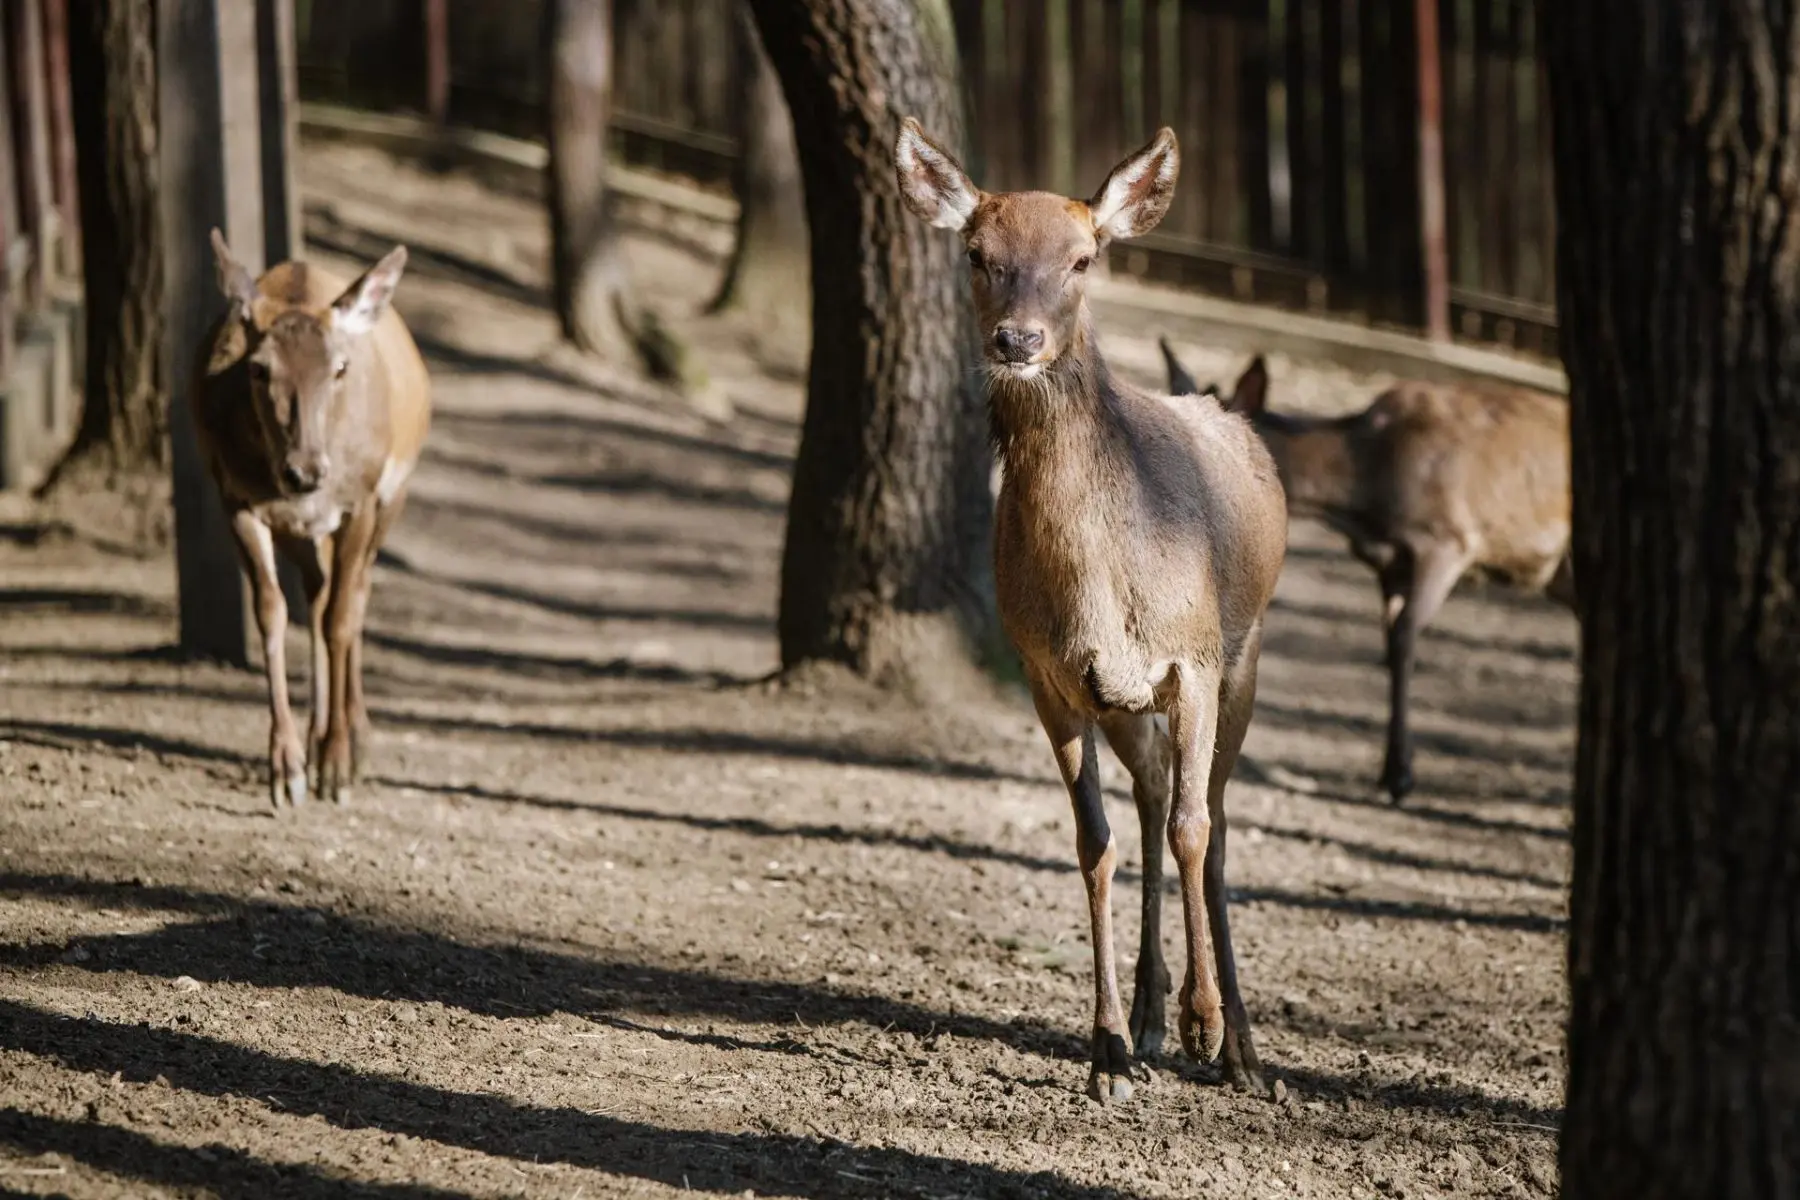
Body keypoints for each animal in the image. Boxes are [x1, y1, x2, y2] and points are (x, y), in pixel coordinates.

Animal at [194, 231, 431, 809]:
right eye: (259, 368)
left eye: (339, 368)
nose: (305, 471)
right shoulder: (234, 496)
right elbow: (272, 612)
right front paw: (287, 768)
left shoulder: (362, 498)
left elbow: (343, 618)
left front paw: (337, 767)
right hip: (303, 531)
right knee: (318, 593)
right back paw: (315, 735)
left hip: (394, 494)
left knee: (355, 593)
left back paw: (354, 740)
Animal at [896, 120, 1288, 1102]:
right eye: (978, 252)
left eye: (1083, 257)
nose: (1017, 337)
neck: (1106, 591)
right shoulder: (1051, 677)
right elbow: (1094, 841)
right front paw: (1107, 1047)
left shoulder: (1194, 659)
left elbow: (1195, 831)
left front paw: (1205, 1023)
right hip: (1125, 703)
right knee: (1150, 799)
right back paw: (1148, 1018)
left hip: (1248, 654)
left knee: (1213, 820)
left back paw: (1240, 1048)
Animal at [1160, 341, 1573, 802]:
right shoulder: (1389, 564)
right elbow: (1391, 643)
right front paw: (1393, 769)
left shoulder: (1448, 538)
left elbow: (1405, 637)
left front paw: (1400, 776)